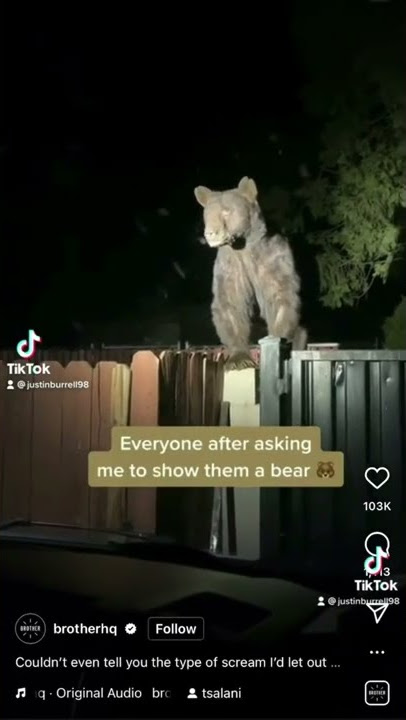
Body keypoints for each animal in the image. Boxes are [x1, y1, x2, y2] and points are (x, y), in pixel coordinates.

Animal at [194, 176, 307, 370]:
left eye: (226, 211)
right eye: (206, 215)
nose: (210, 233)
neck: (243, 247)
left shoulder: (272, 259)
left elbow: (280, 296)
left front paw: (277, 343)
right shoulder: (230, 266)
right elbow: (231, 303)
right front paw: (239, 359)